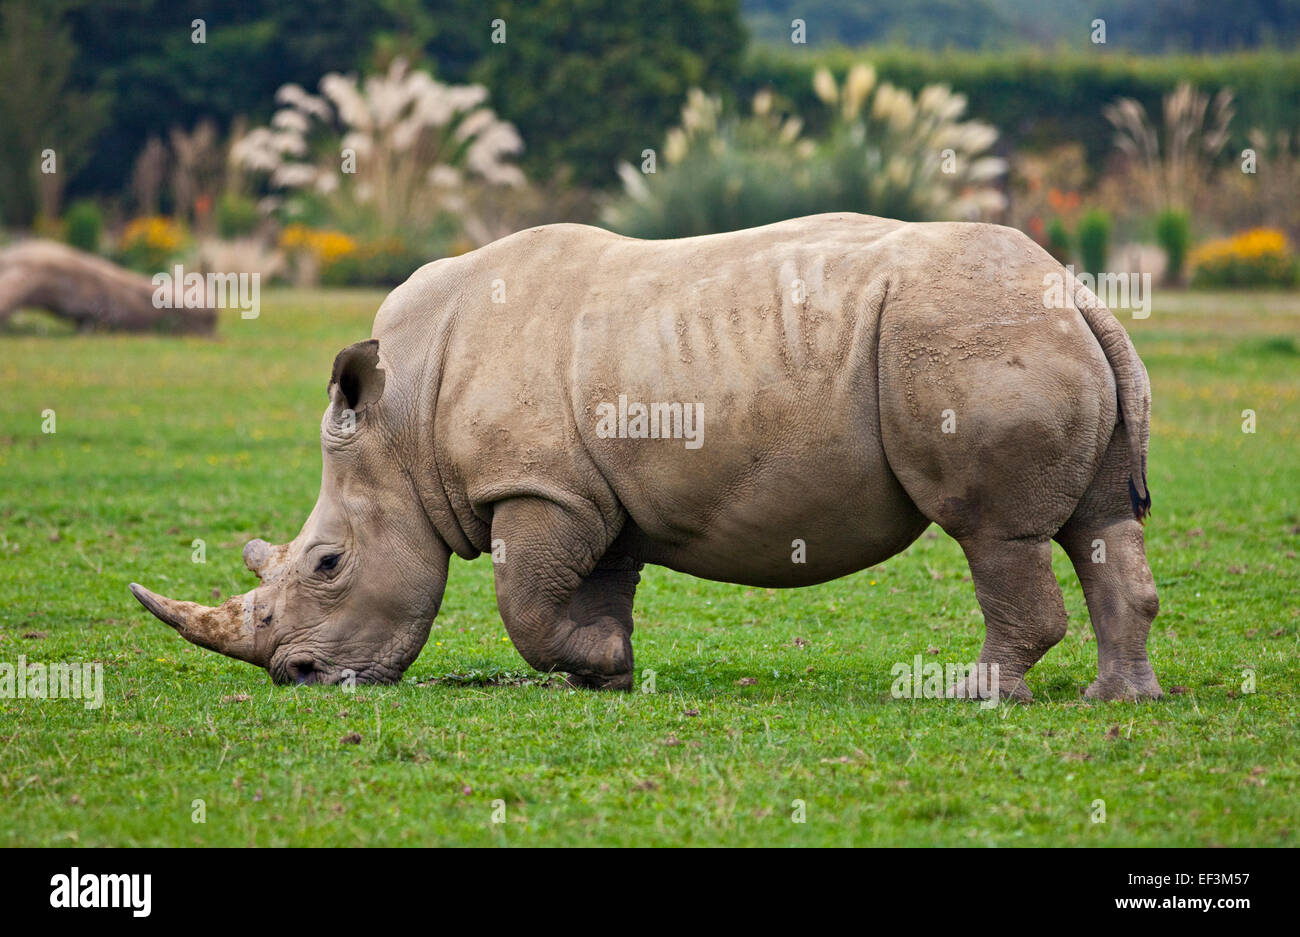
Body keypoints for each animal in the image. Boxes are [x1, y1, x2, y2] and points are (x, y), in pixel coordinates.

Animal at [131, 210, 1164, 696]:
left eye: (327, 563)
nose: (297, 677)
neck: (403, 418)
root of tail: (1077, 292)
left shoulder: (538, 488)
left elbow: (523, 603)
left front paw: (591, 661)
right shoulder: (594, 495)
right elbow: (589, 589)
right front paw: (607, 668)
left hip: (968, 337)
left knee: (993, 534)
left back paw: (972, 694)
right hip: (1027, 332)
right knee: (1098, 524)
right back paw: (1115, 702)